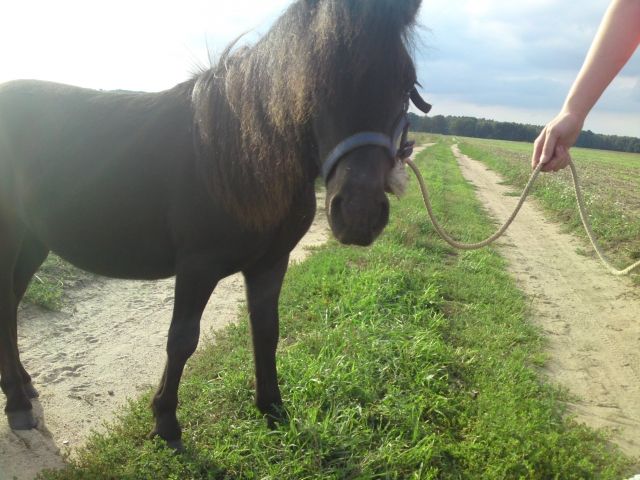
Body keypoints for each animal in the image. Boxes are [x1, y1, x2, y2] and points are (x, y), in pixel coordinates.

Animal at [0, 0, 430, 450]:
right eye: (313, 78)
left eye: (406, 81)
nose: (359, 213)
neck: (244, 154)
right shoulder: (197, 266)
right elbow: (182, 340)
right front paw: (166, 421)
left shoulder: (271, 263)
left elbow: (266, 330)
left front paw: (273, 409)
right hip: (9, 234)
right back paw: (17, 402)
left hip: (34, 241)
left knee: (10, 302)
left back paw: (23, 385)